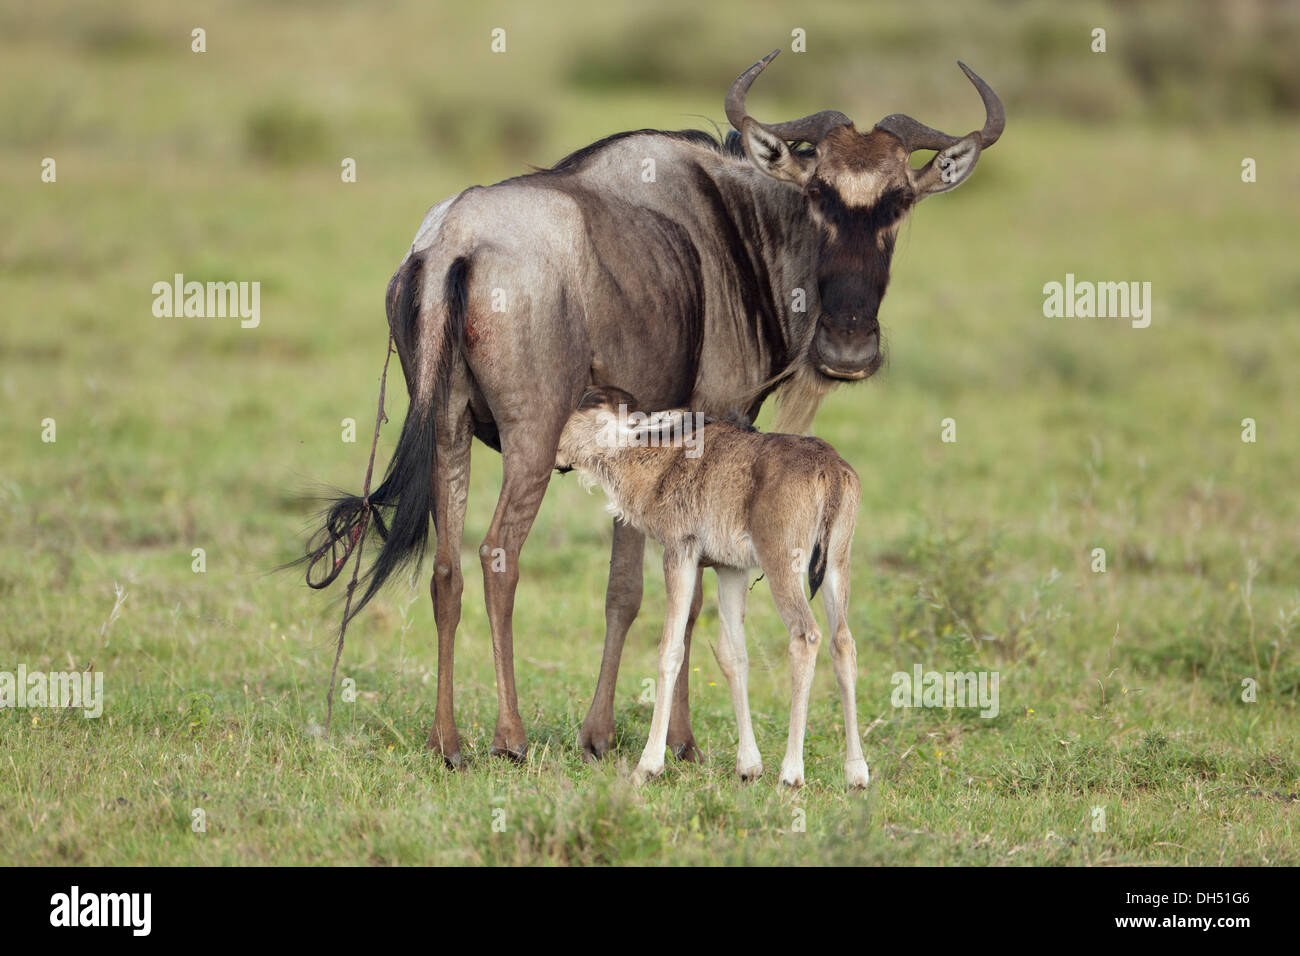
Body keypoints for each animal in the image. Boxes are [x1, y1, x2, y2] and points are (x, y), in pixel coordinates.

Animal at [553, 385, 868, 790]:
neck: (660, 465)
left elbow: (670, 649)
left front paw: (648, 766)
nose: (556, 453)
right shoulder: (730, 568)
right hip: (837, 563)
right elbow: (733, 655)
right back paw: (857, 772)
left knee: (806, 635)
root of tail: (830, 470)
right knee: (842, 641)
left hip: (783, 562)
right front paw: (748, 765)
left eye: (581, 413)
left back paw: (791, 772)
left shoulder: (680, 551)